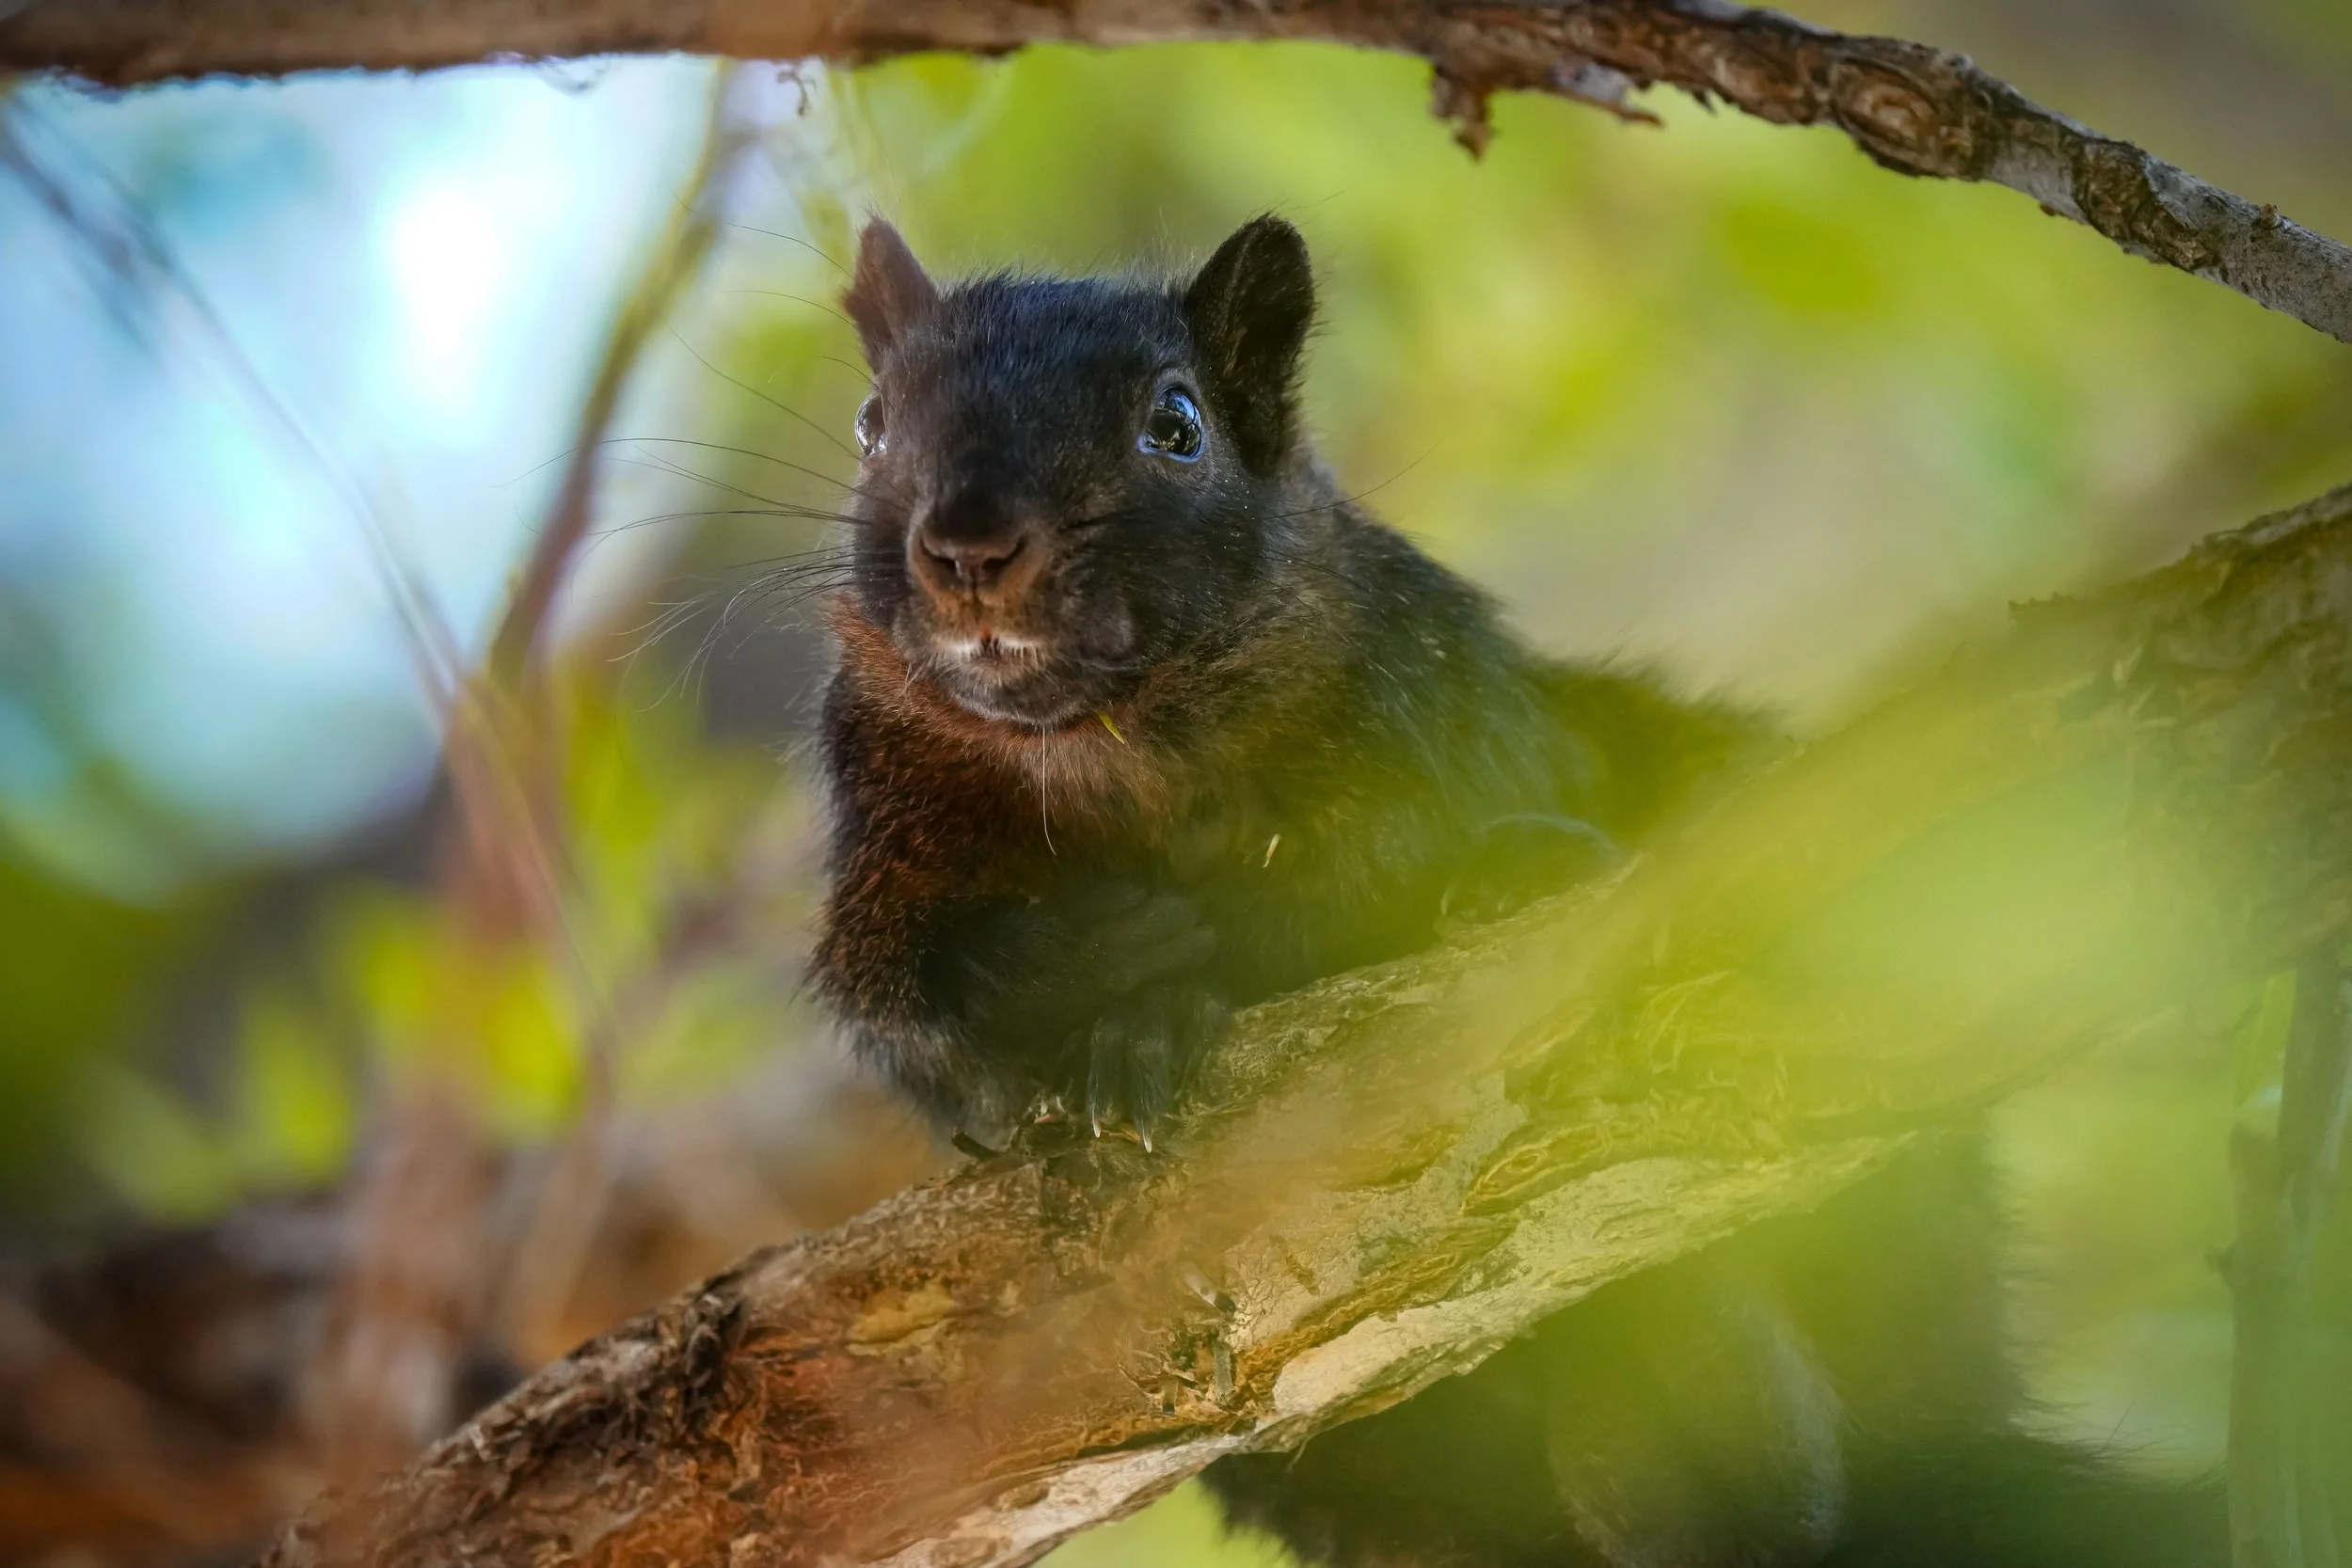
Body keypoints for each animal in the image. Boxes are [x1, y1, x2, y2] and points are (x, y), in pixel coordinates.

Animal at [808, 216, 2228, 1567]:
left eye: (1177, 424)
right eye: (872, 421)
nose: (969, 547)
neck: (1117, 751)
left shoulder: (1455, 710)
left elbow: (1340, 899)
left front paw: (1170, 1003)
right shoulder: (887, 848)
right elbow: (909, 1004)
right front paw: (1097, 989)